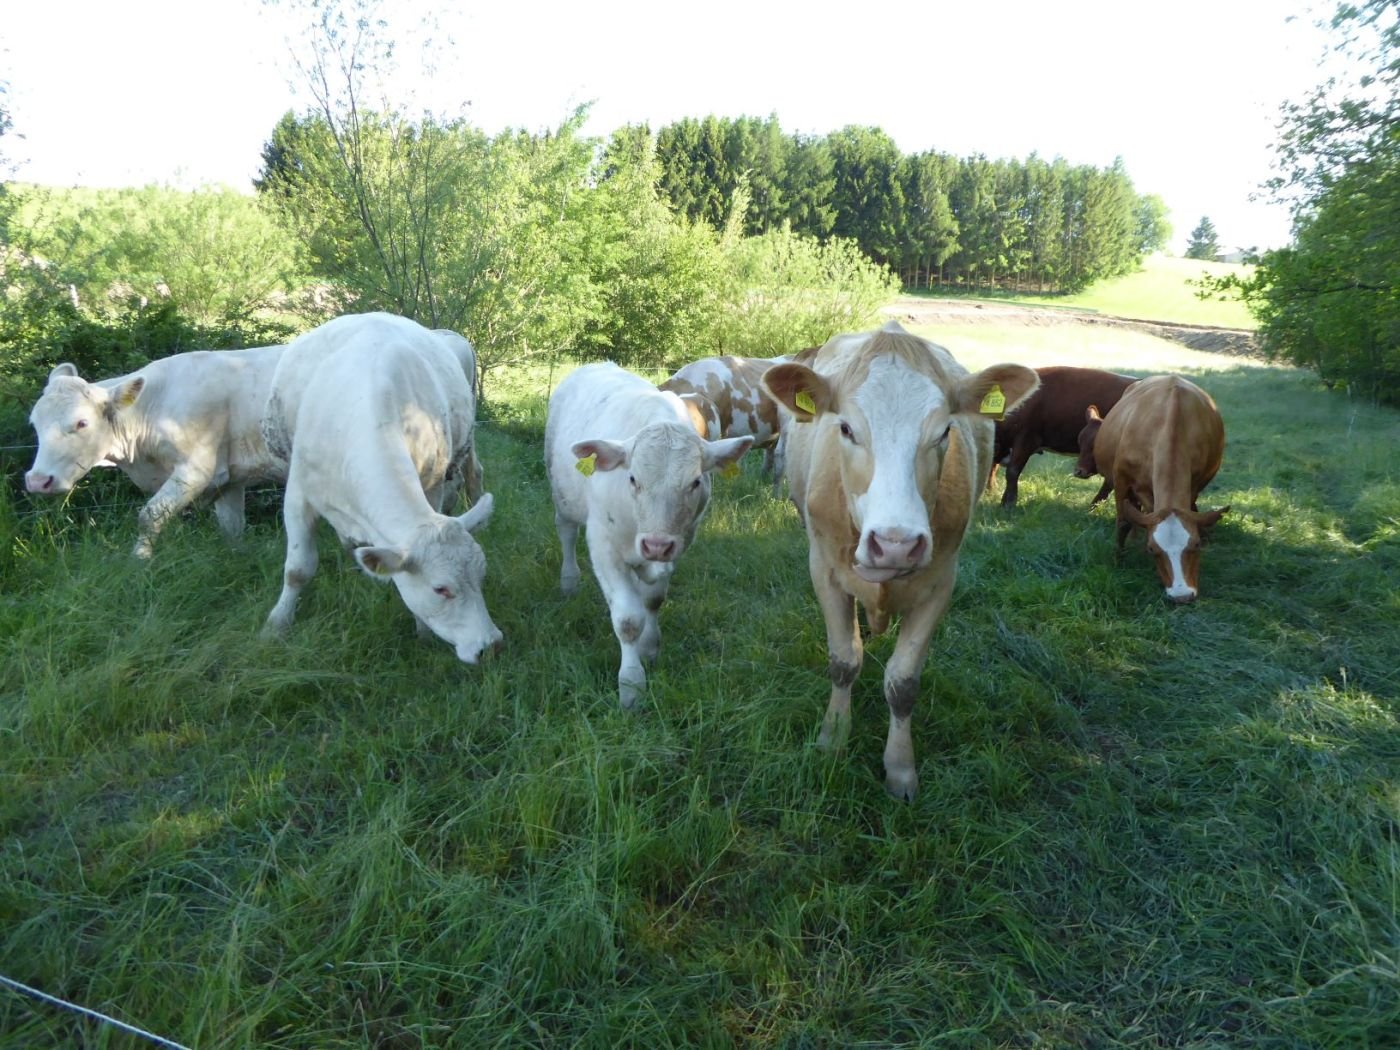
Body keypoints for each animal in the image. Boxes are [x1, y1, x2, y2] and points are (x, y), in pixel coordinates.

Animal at [24, 345, 287, 558]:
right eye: (34, 423)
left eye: (82, 423)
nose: (37, 481)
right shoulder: (230, 479)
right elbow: (232, 528)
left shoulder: (196, 469)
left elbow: (150, 515)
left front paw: (140, 560)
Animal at [261, 312, 502, 663]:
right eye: (441, 589)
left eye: (482, 576)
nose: (491, 645)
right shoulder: (298, 495)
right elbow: (297, 569)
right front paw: (277, 624)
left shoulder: (431, 486)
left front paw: (422, 630)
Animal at [546, 362, 753, 708]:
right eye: (632, 478)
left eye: (696, 481)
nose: (656, 544)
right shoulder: (604, 547)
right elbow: (628, 620)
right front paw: (631, 684)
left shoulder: (678, 544)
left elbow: (653, 600)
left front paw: (650, 648)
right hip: (563, 495)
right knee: (566, 531)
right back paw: (569, 580)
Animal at [762, 321, 1038, 800]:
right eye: (846, 428)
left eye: (945, 431)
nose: (894, 544)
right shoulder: (824, 570)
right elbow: (843, 662)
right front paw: (833, 739)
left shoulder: (941, 582)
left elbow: (903, 682)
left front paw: (900, 768)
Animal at [1077, 374, 1229, 604]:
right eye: (1152, 549)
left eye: (1196, 544)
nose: (1181, 595)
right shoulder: (1121, 479)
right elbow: (1123, 522)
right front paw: (1119, 558)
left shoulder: (1194, 484)